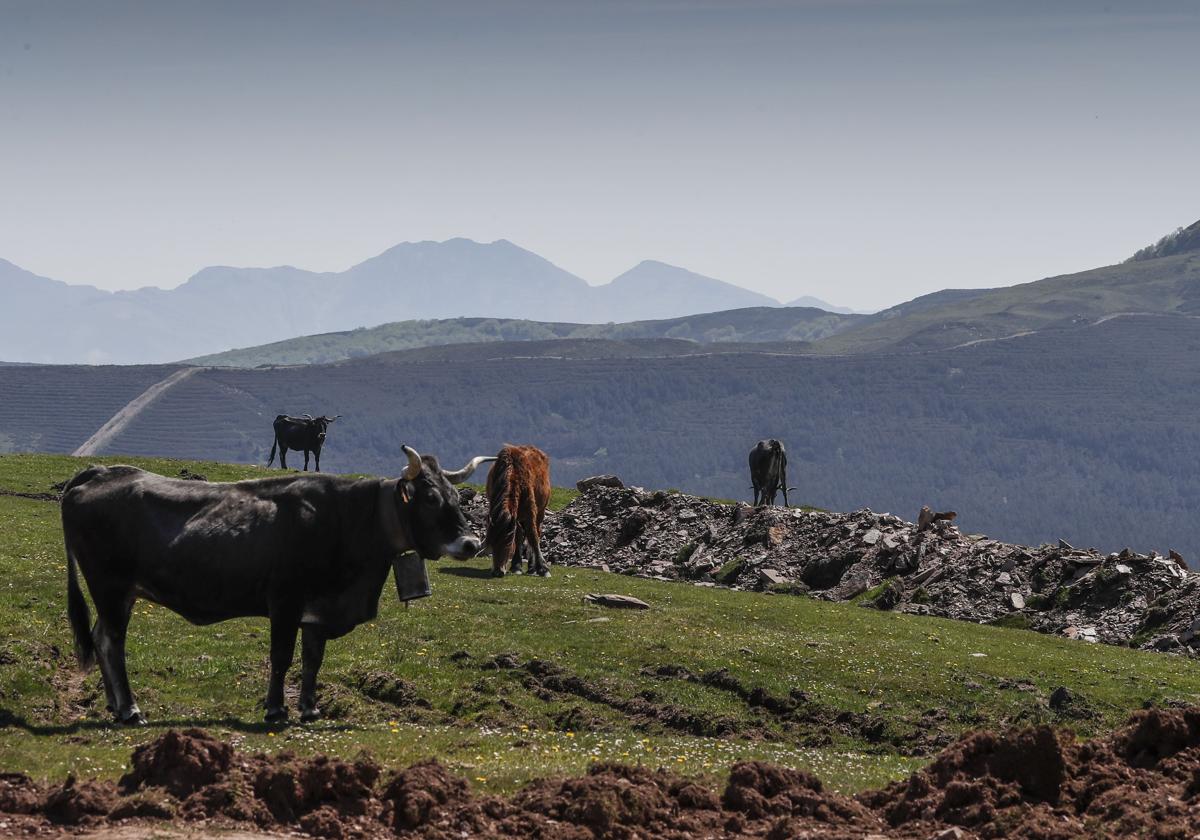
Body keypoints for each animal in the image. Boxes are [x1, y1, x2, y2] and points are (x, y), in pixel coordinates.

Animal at [59, 444, 492, 724]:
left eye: (456, 496)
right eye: (431, 498)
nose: (471, 543)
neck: (347, 519)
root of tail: (102, 472)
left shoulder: (318, 608)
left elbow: (313, 658)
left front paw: (310, 708)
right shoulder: (284, 601)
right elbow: (282, 657)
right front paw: (275, 709)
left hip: (119, 594)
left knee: (100, 637)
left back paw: (115, 706)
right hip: (110, 587)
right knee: (113, 642)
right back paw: (131, 709)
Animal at [484, 446, 549, 578]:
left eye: (508, 544)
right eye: (491, 544)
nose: (497, 571)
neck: (513, 473)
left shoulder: (530, 510)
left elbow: (533, 536)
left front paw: (543, 569)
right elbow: (520, 536)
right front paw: (516, 566)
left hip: (540, 511)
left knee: (536, 532)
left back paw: (532, 568)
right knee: (520, 534)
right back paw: (518, 566)